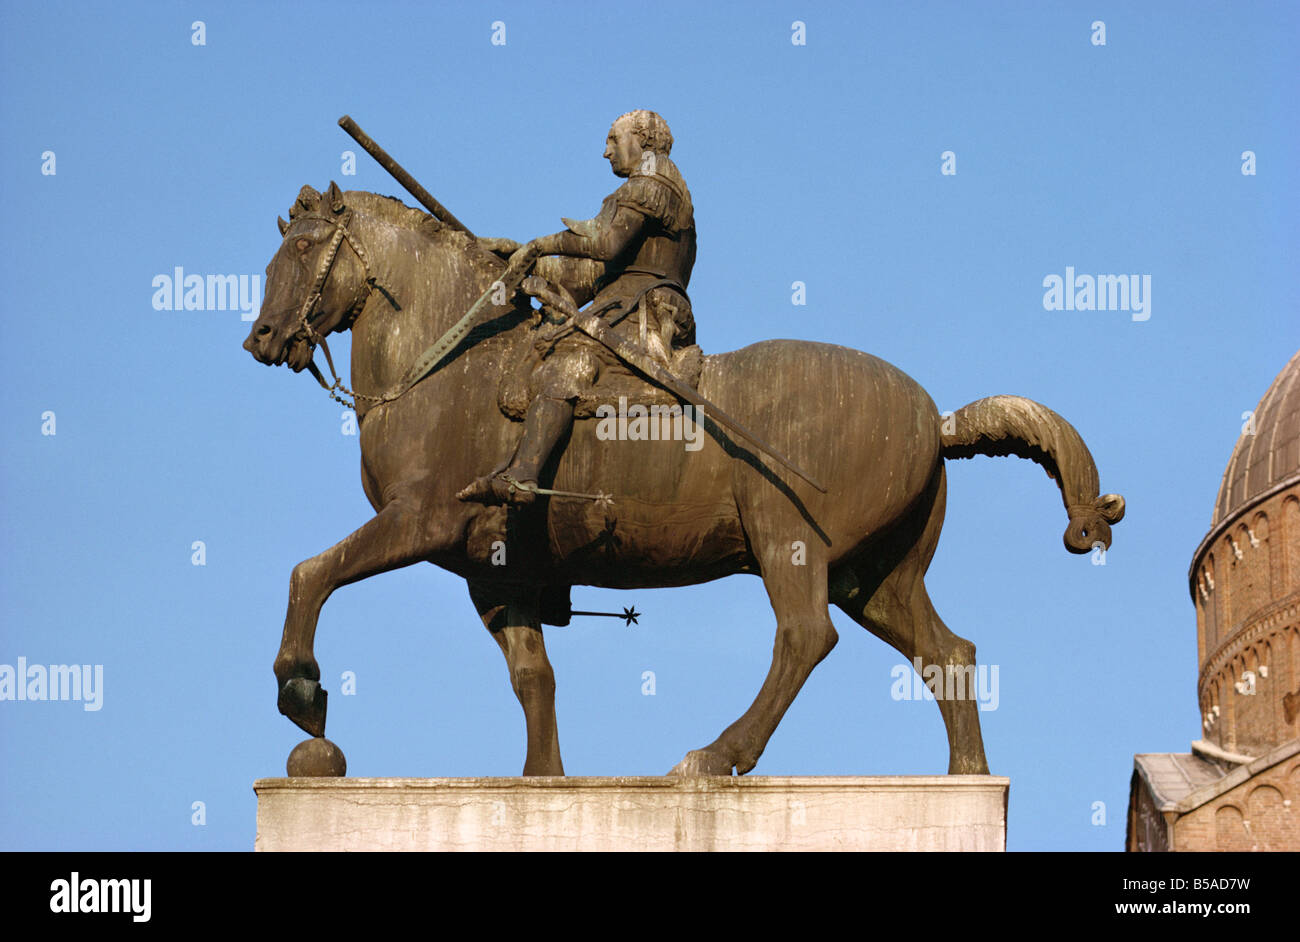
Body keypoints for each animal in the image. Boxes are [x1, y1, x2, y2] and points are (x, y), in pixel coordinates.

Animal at [245, 180, 1128, 774]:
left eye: (302, 248)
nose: (263, 339)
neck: (450, 365)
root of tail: (933, 419)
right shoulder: (494, 575)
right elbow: (535, 679)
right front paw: (541, 781)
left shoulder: (422, 520)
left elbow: (311, 572)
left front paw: (301, 689)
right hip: (876, 575)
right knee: (949, 651)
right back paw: (966, 775)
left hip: (788, 538)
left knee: (805, 637)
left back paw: (715, 754)